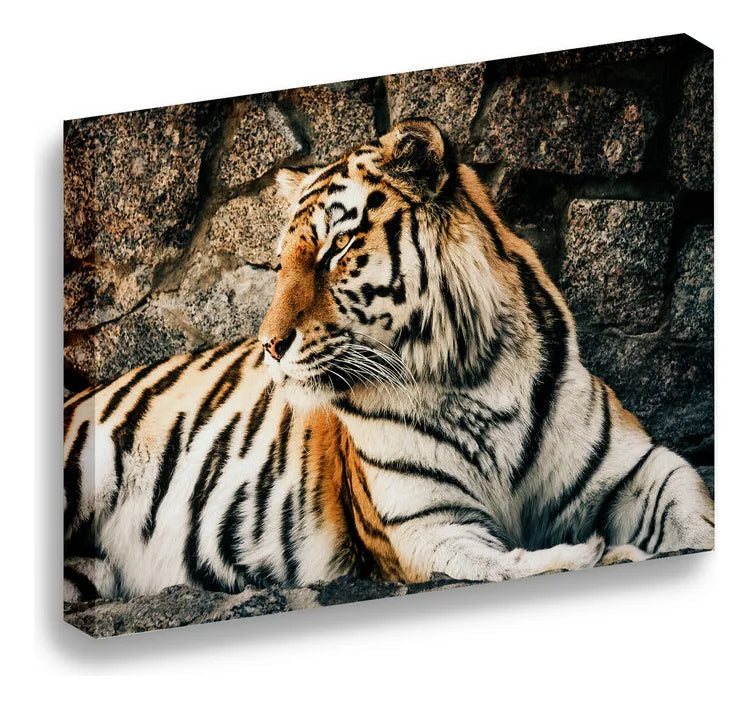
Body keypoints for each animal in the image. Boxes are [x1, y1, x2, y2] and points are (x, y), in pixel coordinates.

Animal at [63, 117, 714, 604]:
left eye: (338, 247)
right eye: (280, 262)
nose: (269, 345)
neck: (475, 377)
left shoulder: (639, 467)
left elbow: (694, 512)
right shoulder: (426, 526)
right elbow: (506, 566)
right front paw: (603, 553)